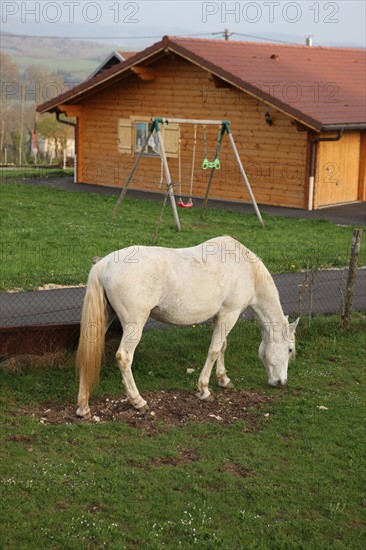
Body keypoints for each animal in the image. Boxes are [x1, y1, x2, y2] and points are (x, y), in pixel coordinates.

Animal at [76, 235, 298, 420]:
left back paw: (83, 408)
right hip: (134, 325)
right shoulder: (230, 314)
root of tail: (104, 264)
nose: (281, 382)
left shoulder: (221, 317)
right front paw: (204, 390)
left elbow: (222, 347)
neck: (247, 270)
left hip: (104, 320)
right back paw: (138, 401)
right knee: (124, 357)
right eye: (289, 350)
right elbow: (214, 350)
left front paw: (223, 379)